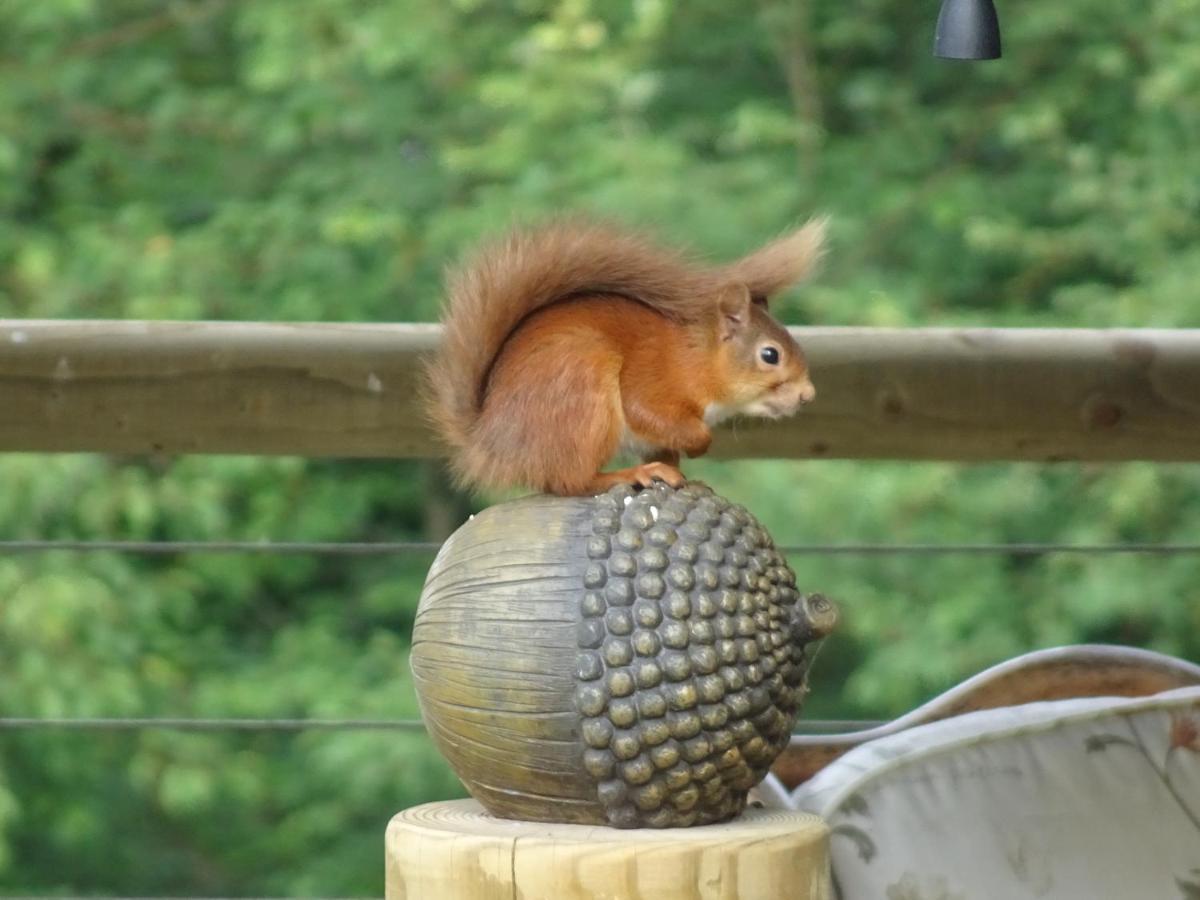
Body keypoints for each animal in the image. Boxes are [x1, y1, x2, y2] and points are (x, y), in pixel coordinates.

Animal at [427, 219, 830, 501]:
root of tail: (490, 443)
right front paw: (699, 444)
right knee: (570, 480)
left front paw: (685, 473)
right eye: (770, 355)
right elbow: (646, 411)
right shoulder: (654, 380)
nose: (808, 395)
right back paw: (626, 475)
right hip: (582, 394)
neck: (698, 358)